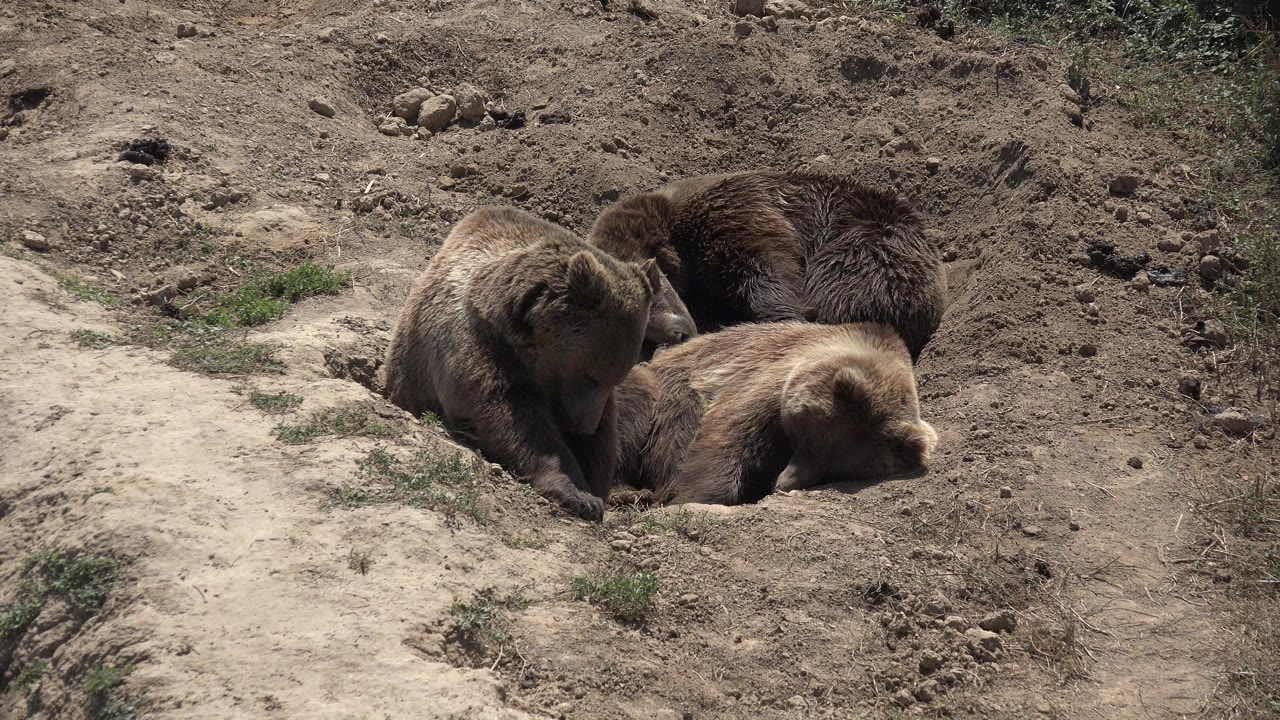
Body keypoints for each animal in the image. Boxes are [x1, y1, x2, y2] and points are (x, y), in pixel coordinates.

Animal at [384, 206, 658, 522]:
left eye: (616, 378)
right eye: (590, 375)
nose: (584, 427)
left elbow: (604, 440)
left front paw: (594, 484)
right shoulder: (479, 344)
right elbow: (512, 416)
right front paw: (579, 494)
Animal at [614, 321, 938, 505]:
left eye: (834, 471)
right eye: (808, 440)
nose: (783, 484)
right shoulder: (769, 377)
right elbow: (727, 435)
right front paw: (692, 496)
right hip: (657, 389)